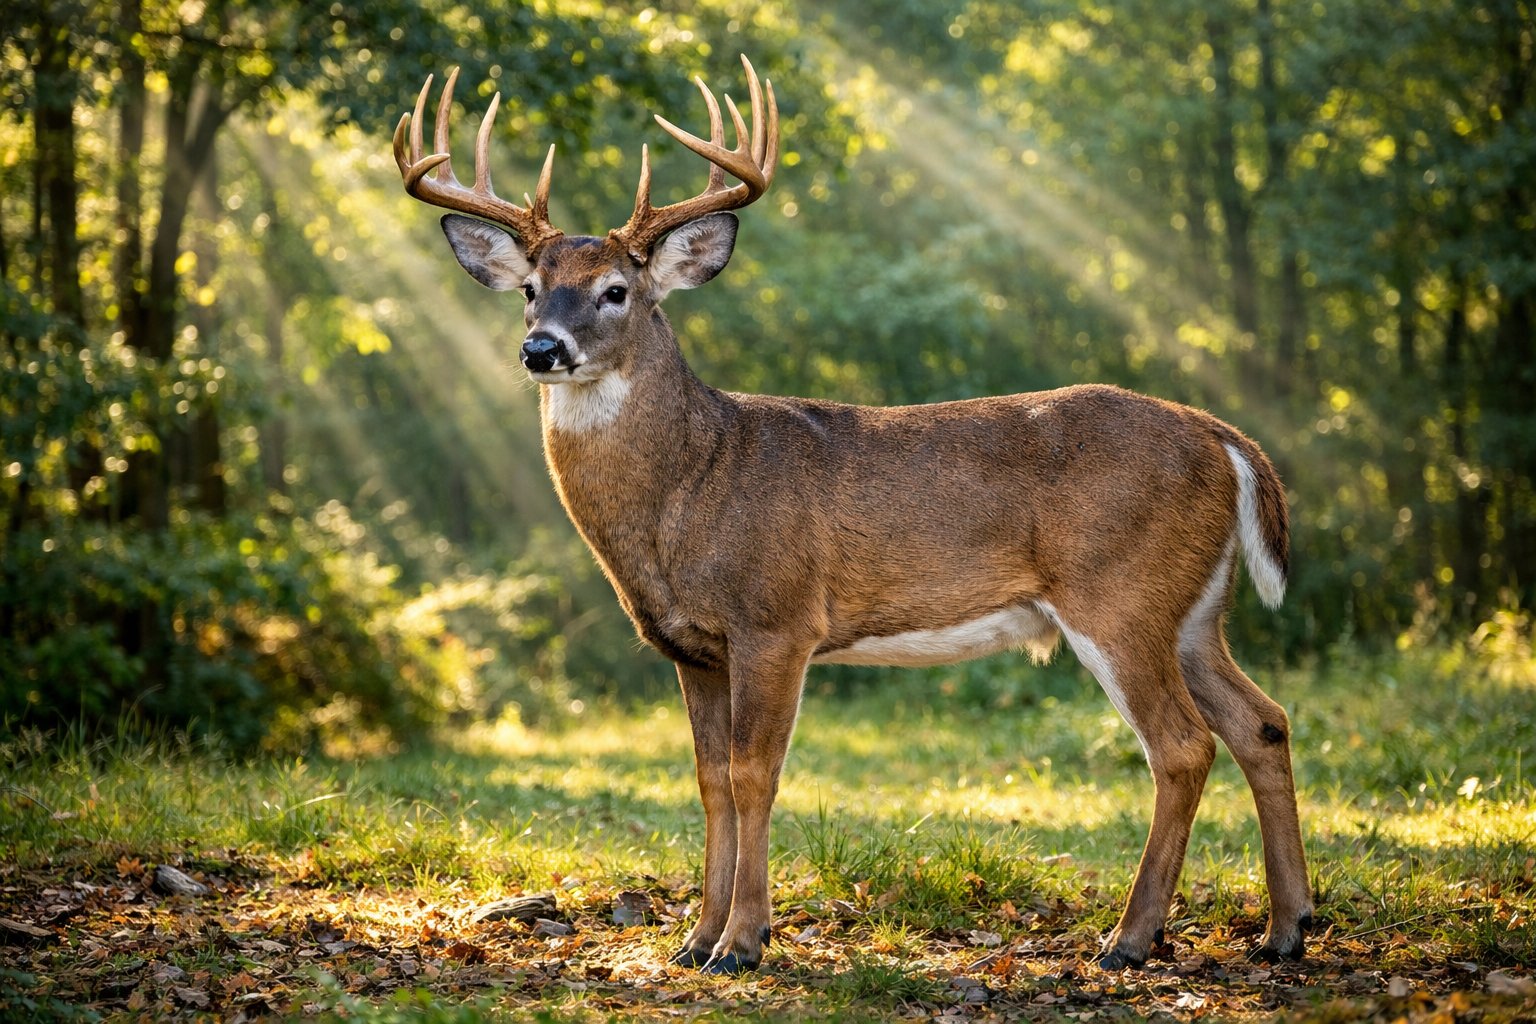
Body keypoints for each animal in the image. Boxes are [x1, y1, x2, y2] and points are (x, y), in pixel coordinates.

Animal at [392, 55, 1313, 975]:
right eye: (531, 290)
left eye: (616, 290)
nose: (542, 348)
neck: (691, 488)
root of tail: (1221, 436)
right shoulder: (691, 648)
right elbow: (708, 780)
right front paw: (694, 939)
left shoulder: (777, 619)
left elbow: (753, 774)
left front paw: (744, 941)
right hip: (1190, 611)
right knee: (1261, 723)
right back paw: (1285, 928)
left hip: (1118, 593)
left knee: (1183, 746)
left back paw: (1130, 937)